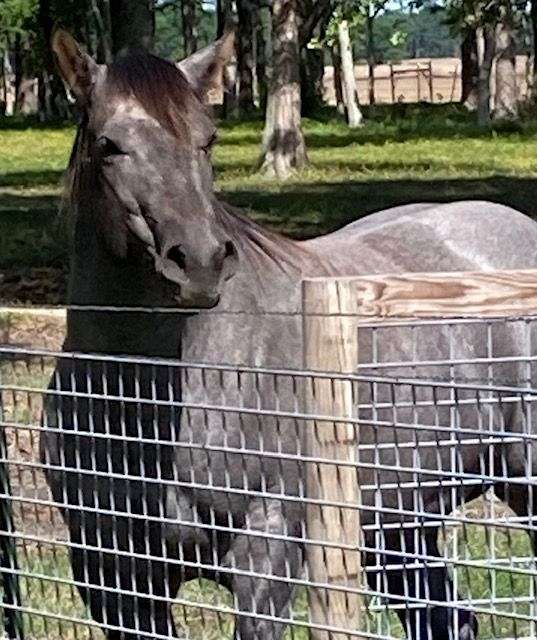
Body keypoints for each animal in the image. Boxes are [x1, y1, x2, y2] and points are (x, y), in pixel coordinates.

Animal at [42, 28, 536, 640]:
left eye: (208, 140)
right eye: (109, 145)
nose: (200, 262)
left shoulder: (266, 552)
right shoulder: (113, 578)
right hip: (399, 529)